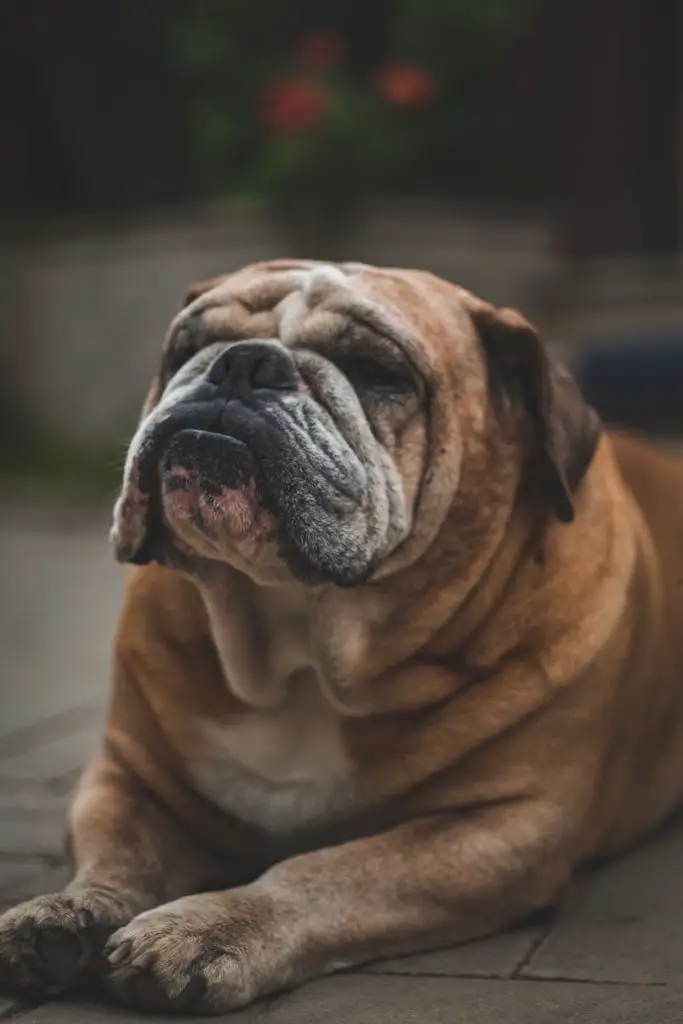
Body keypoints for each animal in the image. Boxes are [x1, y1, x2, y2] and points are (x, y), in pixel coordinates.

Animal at [1, 260, 683, 1011]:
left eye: (376, 369)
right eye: (188, 347)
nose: (243, 363)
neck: (299, 647)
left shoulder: (497, 826)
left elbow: (325, 873)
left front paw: (206, 928)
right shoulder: (127, 777)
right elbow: (118, 854)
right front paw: (69, 911)